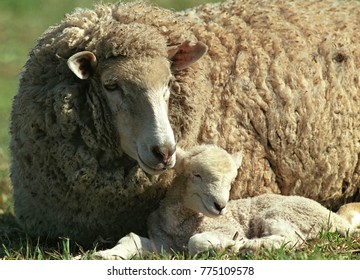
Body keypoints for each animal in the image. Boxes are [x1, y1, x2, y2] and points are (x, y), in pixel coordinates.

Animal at [93, 145, 360, 260]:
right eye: (196, 175)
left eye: (232, 181)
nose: (220, 206)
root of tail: (335, 217)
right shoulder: (165, 244)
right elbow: (131, 239)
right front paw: (106, 255)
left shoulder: (226, 227)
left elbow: (196, 241)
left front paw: (227, 245)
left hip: (282, 213)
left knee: (290, 240)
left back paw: (250, 246)